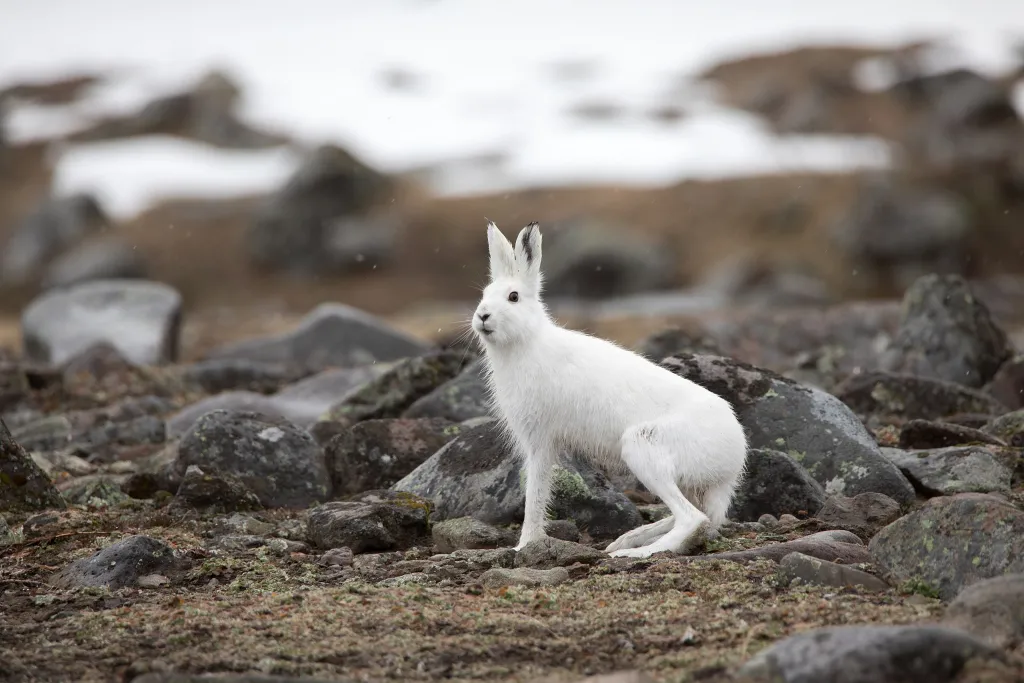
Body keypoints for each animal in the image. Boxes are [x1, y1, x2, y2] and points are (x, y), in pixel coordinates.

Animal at [471, 220, 748, 558]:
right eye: (484, 294)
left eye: (513, 297)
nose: (482, 316)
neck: (527, 341)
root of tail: (733, 462)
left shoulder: (540, 439)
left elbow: (535, 492)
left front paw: (524, 545)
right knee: (698, 516)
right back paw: (628, 539)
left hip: (643, 446)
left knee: (692, 518)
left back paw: (632, 553)